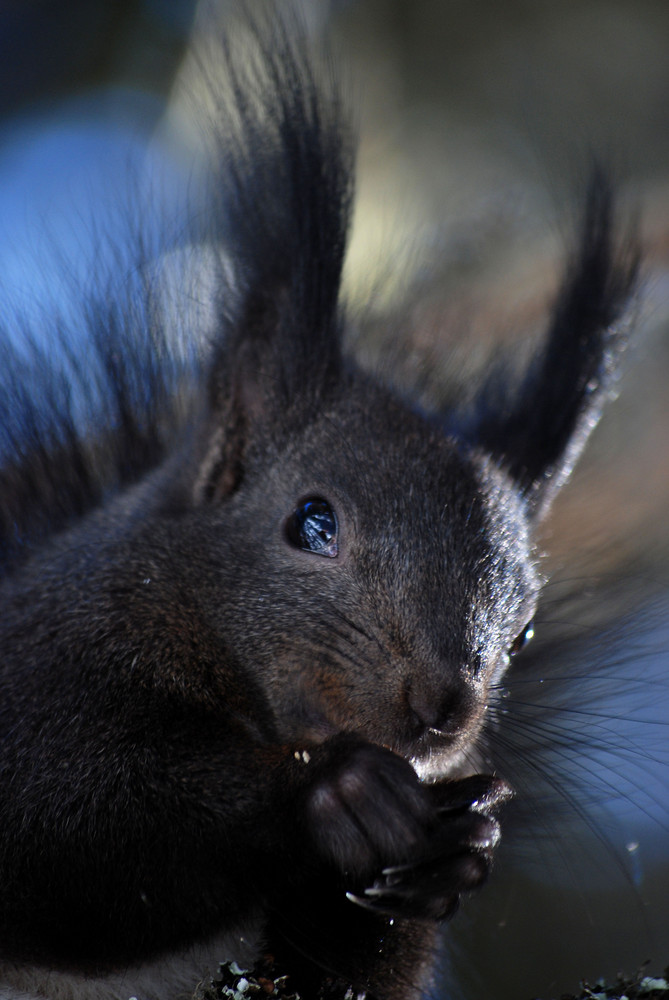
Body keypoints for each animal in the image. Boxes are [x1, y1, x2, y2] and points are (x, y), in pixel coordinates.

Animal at [0, 7, 640, 1000]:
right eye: (311, 523)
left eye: (524, 629)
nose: (442, 707)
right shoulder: (32, 677)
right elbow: (63, 826)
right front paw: (333, 793)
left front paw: (455, 848)